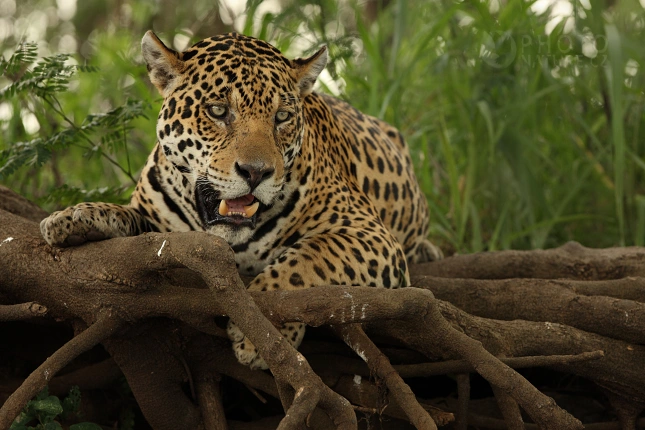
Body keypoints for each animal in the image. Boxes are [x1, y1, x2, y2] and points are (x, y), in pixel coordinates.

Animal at [40, 30, 443, 369]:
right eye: (218, 111)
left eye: (282, 117)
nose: (255, 172)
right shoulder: (155, 223)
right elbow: (127, 220)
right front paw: (74, 219)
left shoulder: (368, 233)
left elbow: (306, 259)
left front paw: (263, 336)